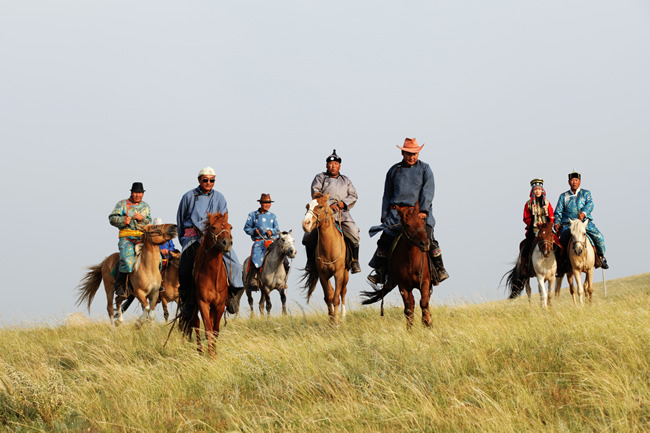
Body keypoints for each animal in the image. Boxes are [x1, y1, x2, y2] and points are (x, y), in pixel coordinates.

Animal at [177, 211, 233, 356]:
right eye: (213, 227)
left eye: (230, 227)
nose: (227, 243)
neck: (212, 275)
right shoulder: (203, 303)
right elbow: (207, 330)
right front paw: (210, 355)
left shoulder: (219, 305)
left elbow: (215, 330)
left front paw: (214, 353)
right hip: (194, 305)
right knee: (196, 323)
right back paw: (201, 351)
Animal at [300, 193, 346, 324]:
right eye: (307, 206)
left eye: (320, 206)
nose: (306, 224)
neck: (329, 247)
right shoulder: (323, 276)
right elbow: (328, 297)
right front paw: (331, 320)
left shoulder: (338, 274)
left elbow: (336, 298)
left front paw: (336, 322)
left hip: (345, 274)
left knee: (343, 292)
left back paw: (343, 314)